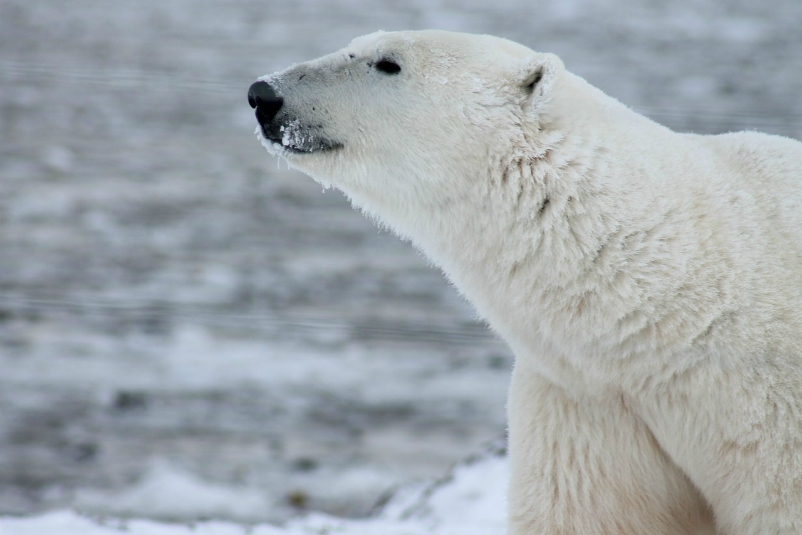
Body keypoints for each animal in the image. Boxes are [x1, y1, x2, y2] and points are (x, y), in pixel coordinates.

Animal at [248, 30, 802, 534]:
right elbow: (588, 513)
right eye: (353, 44)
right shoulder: (590, 403)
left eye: (388, 63)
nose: (262, 94)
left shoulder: (773, 416)